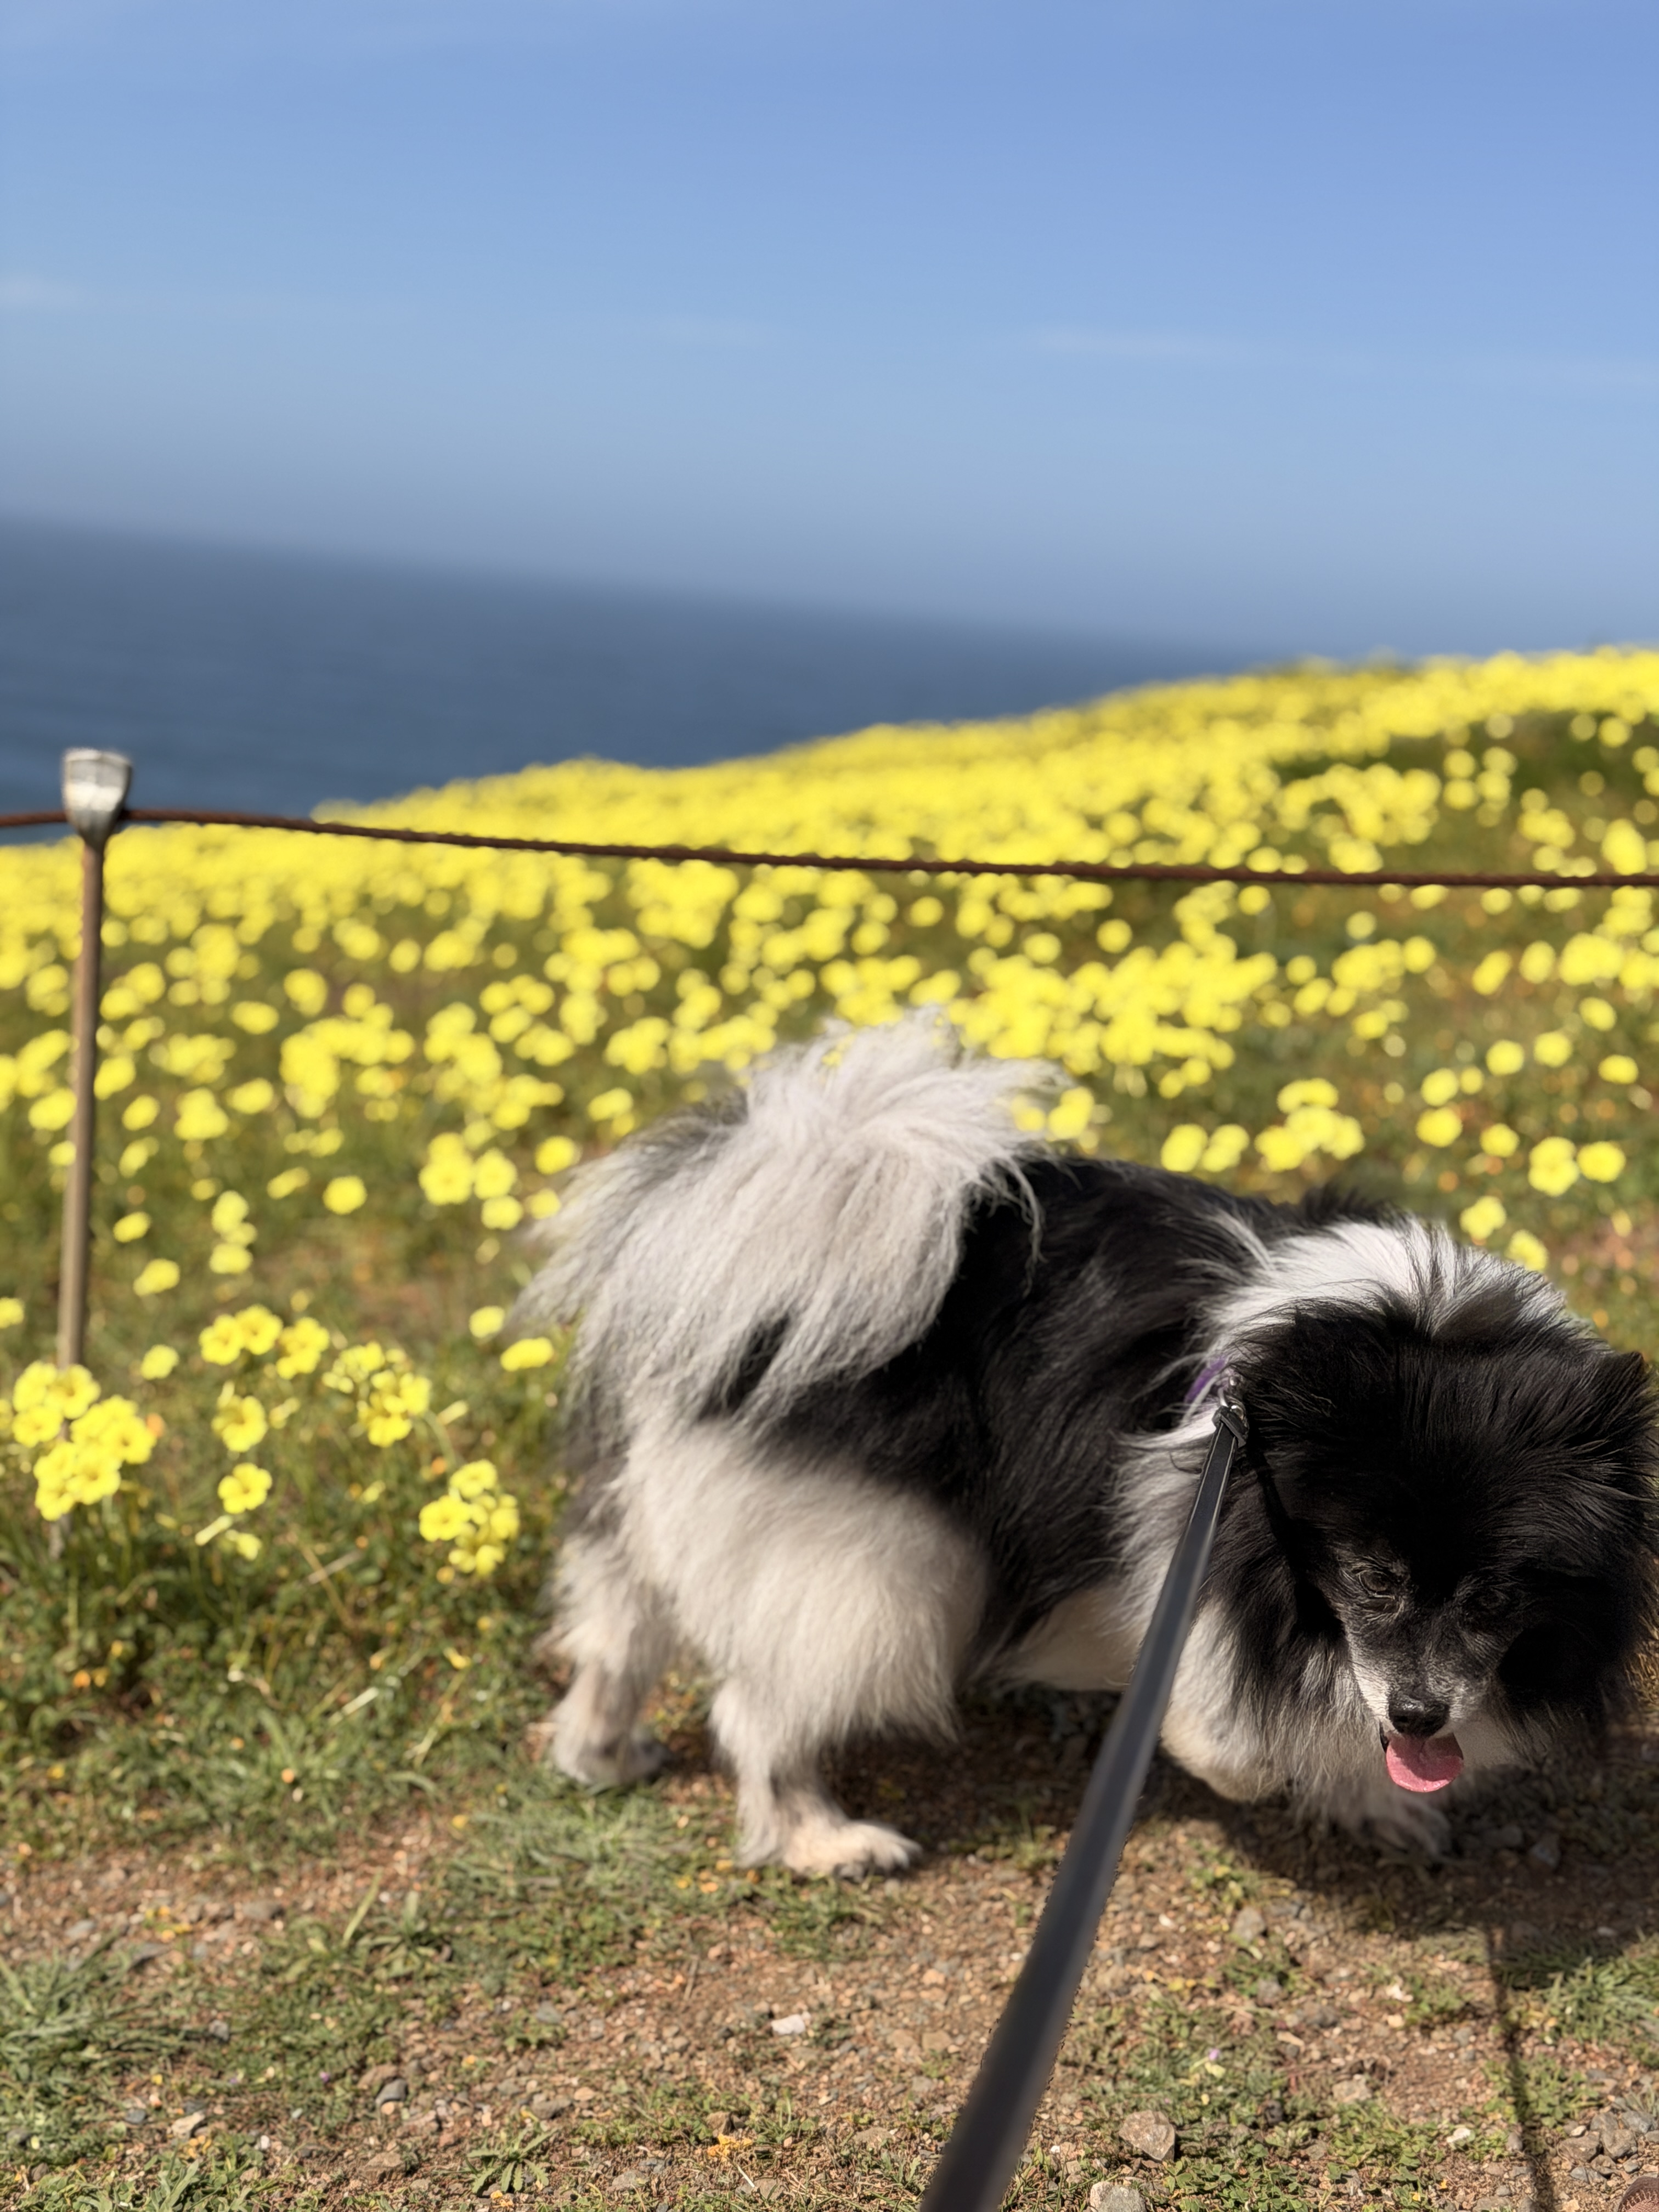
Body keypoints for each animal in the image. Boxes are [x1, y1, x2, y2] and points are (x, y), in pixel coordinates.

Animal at [517, 1018, 1657, 1873]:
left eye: (1495, 1597)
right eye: (1372, 1577)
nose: (1424, 1712)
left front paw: (1372, 1796)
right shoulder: (1193, 1560)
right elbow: (1233, 1720)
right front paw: (1246, 1762)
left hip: (674, 1506)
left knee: (619, 1628)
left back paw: (598, 1751)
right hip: (881, 1564)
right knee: (759, 1706)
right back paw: (823, 1839)